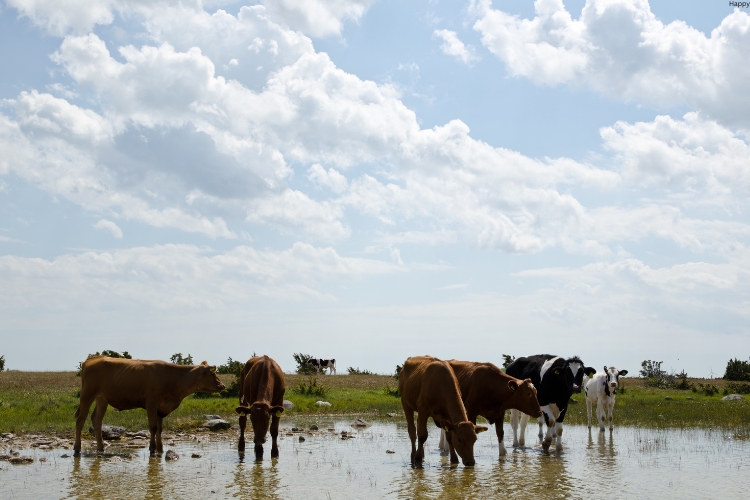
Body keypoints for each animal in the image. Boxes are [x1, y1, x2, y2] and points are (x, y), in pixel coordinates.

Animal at [74, 356, 225, 458]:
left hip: (102, 398)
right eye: (212, 373)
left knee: (97, 420)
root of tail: (94, 358)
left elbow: (159, 429)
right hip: (87, 394)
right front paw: (152, 449)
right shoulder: (151, 403)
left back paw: (101, 447)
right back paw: (77, 449)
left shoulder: (161, 408)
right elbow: (153, 427)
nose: (222, 385)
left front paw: (160, 449)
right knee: (80, 420)